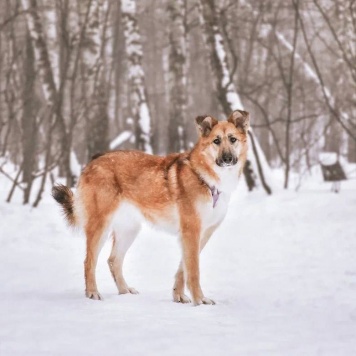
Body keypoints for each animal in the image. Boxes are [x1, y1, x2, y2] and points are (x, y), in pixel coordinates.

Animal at [52, 110, 249, 304]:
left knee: (114, 260)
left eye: (233, 139)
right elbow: (193, 271)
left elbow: (183, 270)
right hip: (100, 226)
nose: (227, 159)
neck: (206, 179)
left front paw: (179, 296)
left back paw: (124, 291)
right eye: (216, 141)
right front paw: (199, 300)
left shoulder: (201, 234)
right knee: (89, 262)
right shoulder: (191, 232)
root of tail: (93, 160)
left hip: (129, 230)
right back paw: (92, 292)